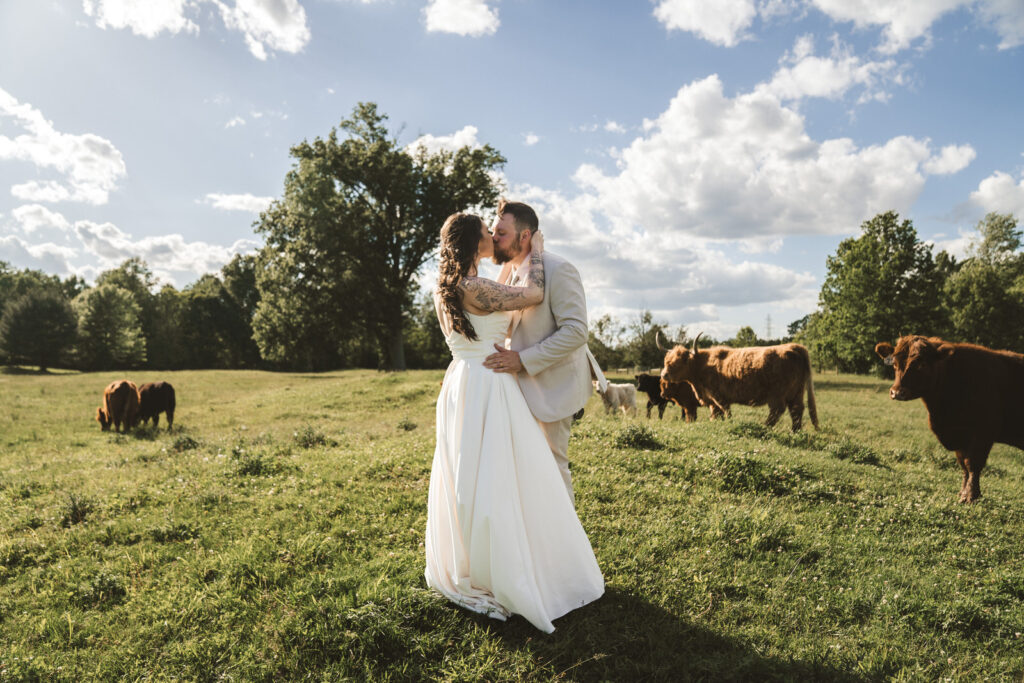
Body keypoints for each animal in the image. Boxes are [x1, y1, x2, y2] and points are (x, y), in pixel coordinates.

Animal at [659, 331, 819, 432]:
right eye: (666, 361)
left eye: (679, 362)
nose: (664, 374)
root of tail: (794, 347)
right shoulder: (711, 400)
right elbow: (715, 414)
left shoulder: (719, 397)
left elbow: (725, 412)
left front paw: (729, 423)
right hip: (797, 392)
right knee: (796, 410)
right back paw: (795, 431)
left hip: (777, 394)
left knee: (777, 410)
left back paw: (765, 427)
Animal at [872, 335, 1024, 501]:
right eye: (895, 364)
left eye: (922, 364)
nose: (897, 392)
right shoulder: (960, 437)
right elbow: (963, 465)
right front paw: (963, 492)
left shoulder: (983, 433)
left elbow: (973, 464)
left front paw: (971, 496)